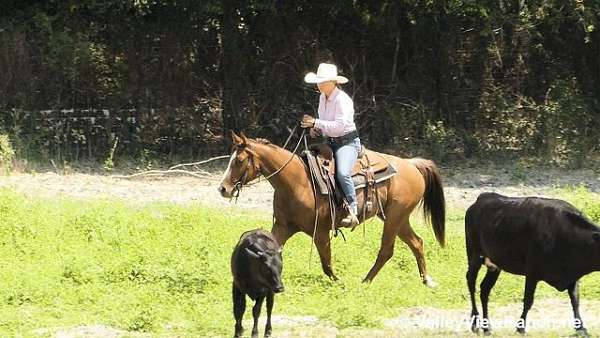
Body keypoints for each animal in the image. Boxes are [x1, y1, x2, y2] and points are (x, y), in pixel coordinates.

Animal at [220, 132, 446, 286]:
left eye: (239, 160)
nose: (223, 189)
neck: (297, 182)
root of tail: (411, 164)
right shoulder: (283, 226)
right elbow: (269, 250)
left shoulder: (320, 232)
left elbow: (326, 264)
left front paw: (340, 283)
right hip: (398, 218)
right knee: (417, 243)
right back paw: (426, 280)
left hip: (394, 218)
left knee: (386, 250)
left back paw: (365, 282)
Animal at [466, 191, 596, 336]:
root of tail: (481, 199)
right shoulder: (532, 273)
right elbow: (528, 301)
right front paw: (520, 328)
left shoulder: (573, 275)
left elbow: (575, 300)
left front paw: (581, 328)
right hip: (474, 254)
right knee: (471, 282)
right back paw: (475, 324)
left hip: (494, 265)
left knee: (484, 289)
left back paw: (487, 328)